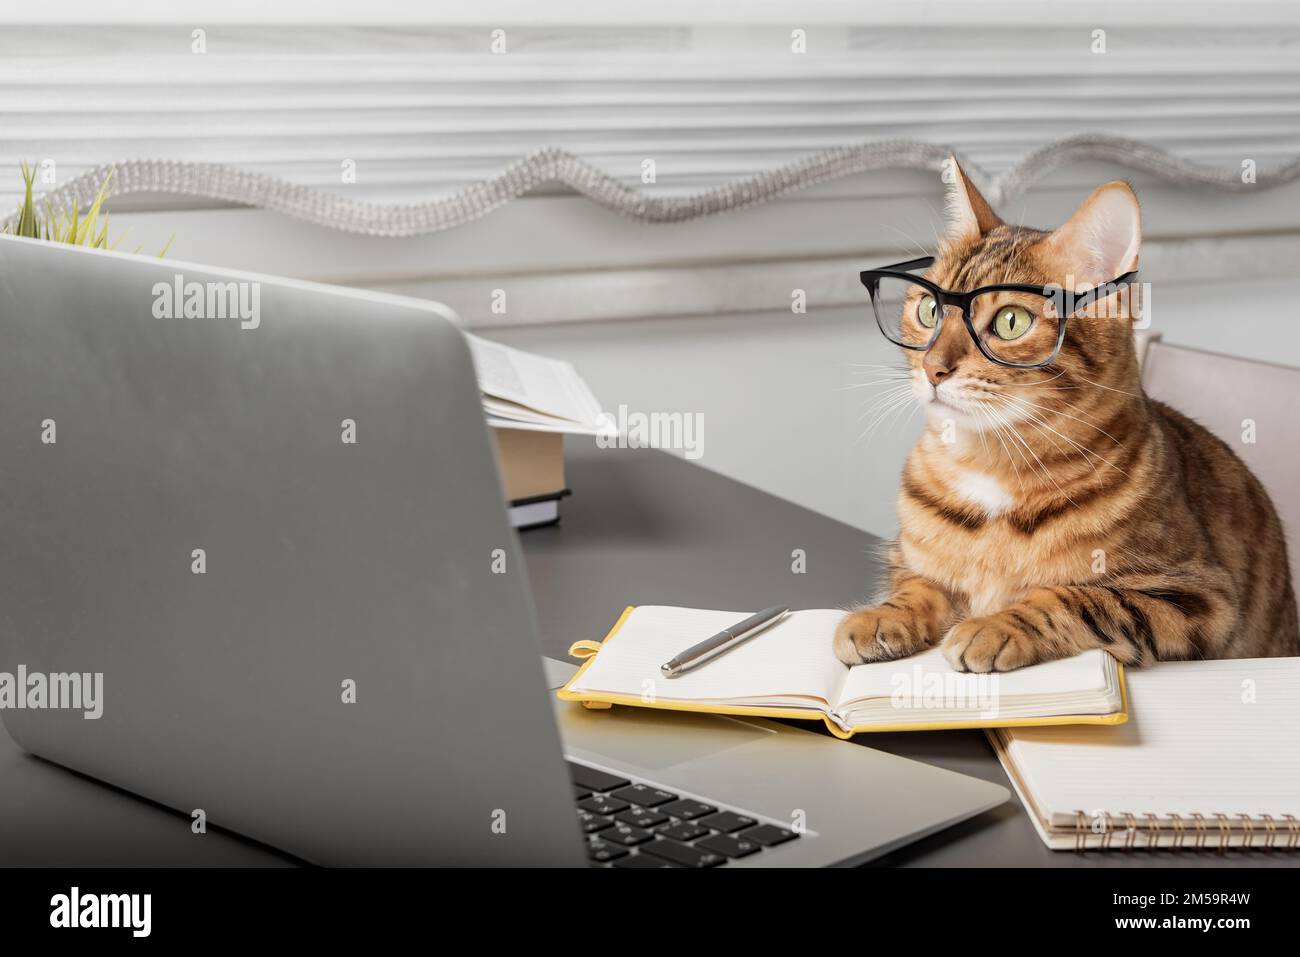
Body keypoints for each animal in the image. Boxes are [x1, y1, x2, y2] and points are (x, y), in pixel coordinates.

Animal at [832, 160, 1300, 670]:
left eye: (1011, 322)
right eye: (930, 310)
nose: (933, 368)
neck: (990, 468)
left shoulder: (1198, 599)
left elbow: (1075, 597)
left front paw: (996, 624)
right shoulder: (905, 559)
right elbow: (919, 584)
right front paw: (884, 614)